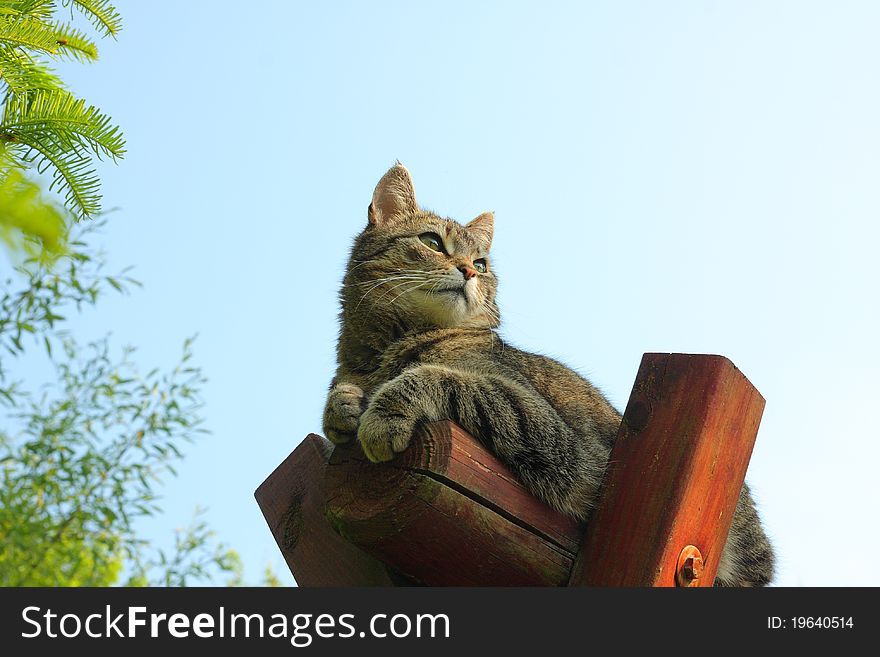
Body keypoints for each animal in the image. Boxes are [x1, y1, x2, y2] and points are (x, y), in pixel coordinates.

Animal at [324, 163, 776, 584]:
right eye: (432, 242)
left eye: (481, 264)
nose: (468, 271)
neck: (386, 349)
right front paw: (342, 407)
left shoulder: (550, 431)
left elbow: (439, 377)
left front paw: (384, 414)